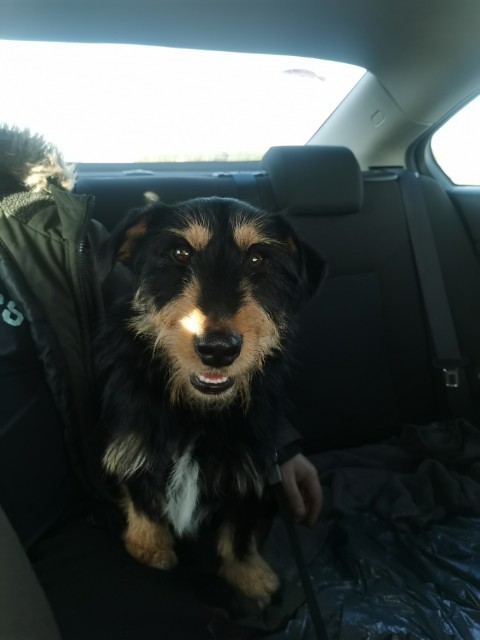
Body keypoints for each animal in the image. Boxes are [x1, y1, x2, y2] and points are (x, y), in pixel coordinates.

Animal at [94, 196, 325, 607]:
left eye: (258, 259)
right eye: (180, 252)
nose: (218, 350)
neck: (198, 411)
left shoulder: (251, 465)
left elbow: (239, 528)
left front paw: (250, 575)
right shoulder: (135, 442)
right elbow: (140, 492)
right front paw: (149, 547)